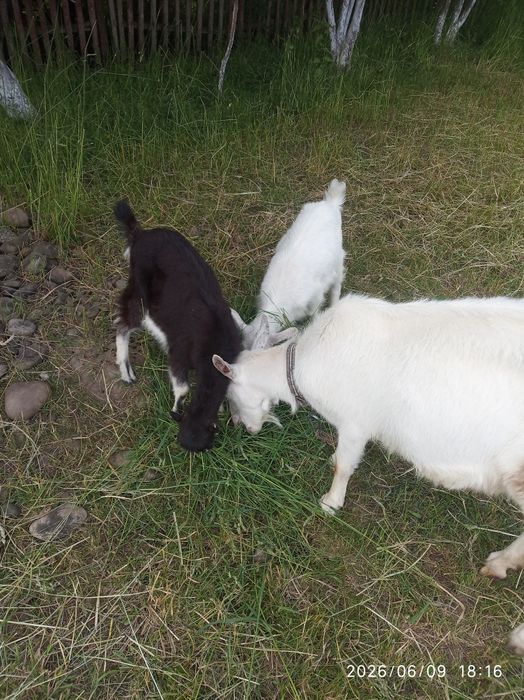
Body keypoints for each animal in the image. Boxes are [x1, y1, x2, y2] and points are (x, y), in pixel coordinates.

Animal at [115, 200, 241, 452]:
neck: (216, 342)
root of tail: (140, 234)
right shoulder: (179, 353)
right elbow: (182, 387)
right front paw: (175, 406)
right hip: (139, 287)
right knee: (125, 322)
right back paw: (126, 371)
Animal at [232, 179, 346, 351]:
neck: (276, 304)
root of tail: (330, 203)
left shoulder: (315, 296)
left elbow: (314, 311)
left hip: (338, 259)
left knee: (337, 282)